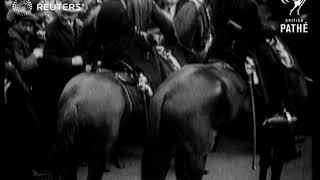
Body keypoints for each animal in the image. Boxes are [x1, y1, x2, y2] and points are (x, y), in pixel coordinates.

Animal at [141, 0, 310, 180]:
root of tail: (165, 92)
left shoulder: (266, 137)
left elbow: (265, 165)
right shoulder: (281, 138)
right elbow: (275, 168)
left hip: (170, 149)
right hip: (195, 156)